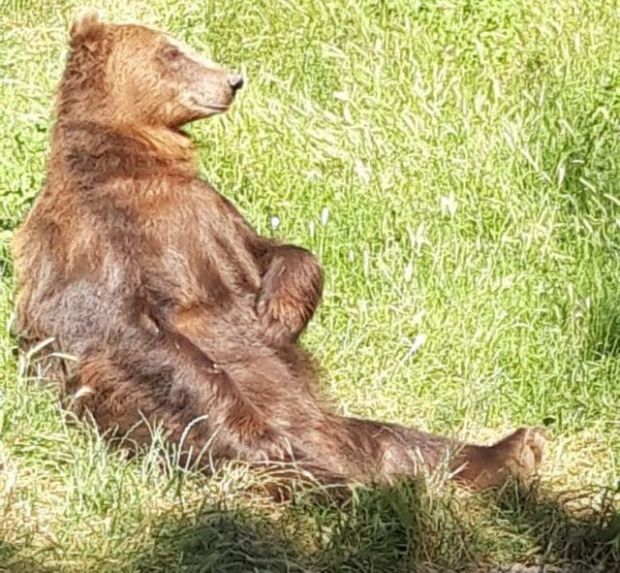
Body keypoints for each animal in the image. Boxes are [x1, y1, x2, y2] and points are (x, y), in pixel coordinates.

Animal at [9, 10, 544, 488]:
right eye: (172, 51)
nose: (233, 79)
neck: (136, 156)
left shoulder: (213, 215)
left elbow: (276, 251)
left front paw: (275, 316)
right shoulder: (99, 236)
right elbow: (118, 322)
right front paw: (258, 436)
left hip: (332, 420)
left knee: (391, 440)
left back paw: (514, 450)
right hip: (128, 409)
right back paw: (325, 479)